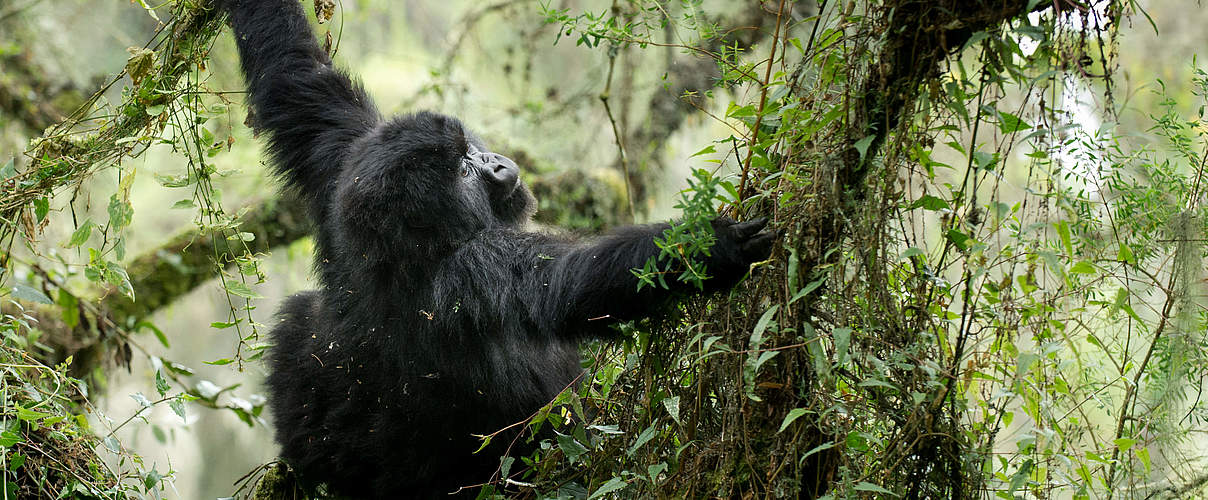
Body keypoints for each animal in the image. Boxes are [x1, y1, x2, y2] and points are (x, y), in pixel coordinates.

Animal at [219, 0, 773, 495]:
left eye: (468, 149)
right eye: (464, 170)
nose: (497, 163)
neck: (403, 251)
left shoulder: (345, 164)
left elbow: (296, 78)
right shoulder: (475, 264)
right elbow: (573, 281)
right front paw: (716, 246)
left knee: (298, 320)